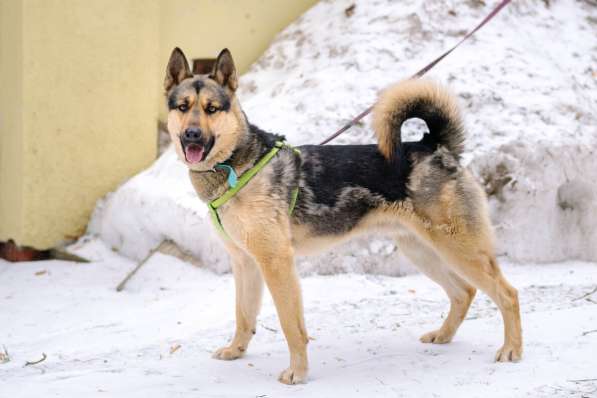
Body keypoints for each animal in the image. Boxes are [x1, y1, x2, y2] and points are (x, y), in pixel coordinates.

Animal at [163, 47, 520, 386]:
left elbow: (292, 327)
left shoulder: (276, 263)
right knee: (464, 292)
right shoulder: (245, 263)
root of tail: (435, 146)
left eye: (212, 108)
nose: (192, 134)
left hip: (459, 249)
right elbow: (244, 316)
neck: (238, 165)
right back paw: (443, 336)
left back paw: (512, 350)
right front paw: (236, 351)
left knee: (507, 294)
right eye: (182, 106)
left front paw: (298, 373)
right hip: (421, 251)